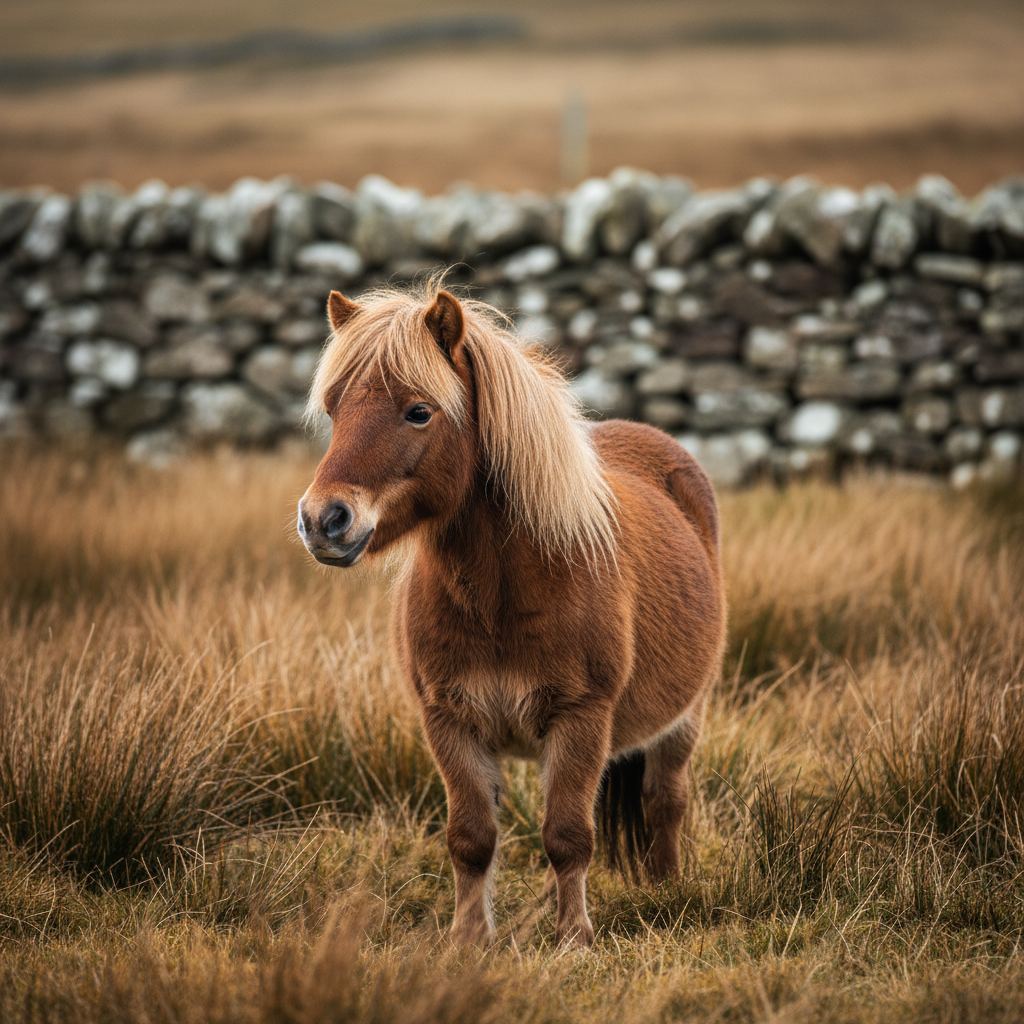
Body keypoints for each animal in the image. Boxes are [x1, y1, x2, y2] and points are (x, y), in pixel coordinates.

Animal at [297, 283, 726, 947]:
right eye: (335, 406)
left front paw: (574, 939)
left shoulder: (581, 719)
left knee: (664, 799)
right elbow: (473, 839)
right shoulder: (450, 720)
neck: (502, 599)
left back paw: (667, 890)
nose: (323, 520)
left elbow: (568, 835)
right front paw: (469, 939)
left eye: (419, 412)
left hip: (684, 718)